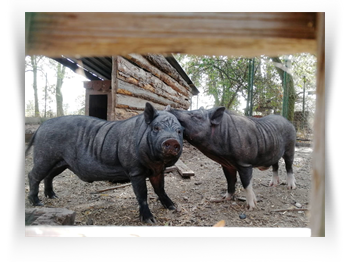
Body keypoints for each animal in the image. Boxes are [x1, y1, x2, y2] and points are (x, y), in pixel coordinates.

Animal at [26, 102, 185, 223]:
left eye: (179, 131)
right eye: (156, 128)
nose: (172, 141)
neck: (156, 163)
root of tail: (40, 127)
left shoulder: (158, 170)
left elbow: (160, 189)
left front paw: (173, 207)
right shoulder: (135, 170)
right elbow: (142, 194)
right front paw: (150, 221)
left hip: (60, 162)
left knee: (49, 176)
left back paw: (53, 196)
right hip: (44, 156)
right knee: (33, 175)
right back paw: (37, 202)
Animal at [168, 105, 296, 210]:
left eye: (196, 116)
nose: (169, 107)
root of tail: (289, 122)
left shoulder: (244, 163)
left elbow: (246, 183)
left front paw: (251, 207)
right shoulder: (227, 164)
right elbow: (229, 180)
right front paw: (225, 198)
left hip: (290, 146)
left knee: (289, 165)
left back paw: (291, 187)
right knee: (275, 164)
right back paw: (272, 184)